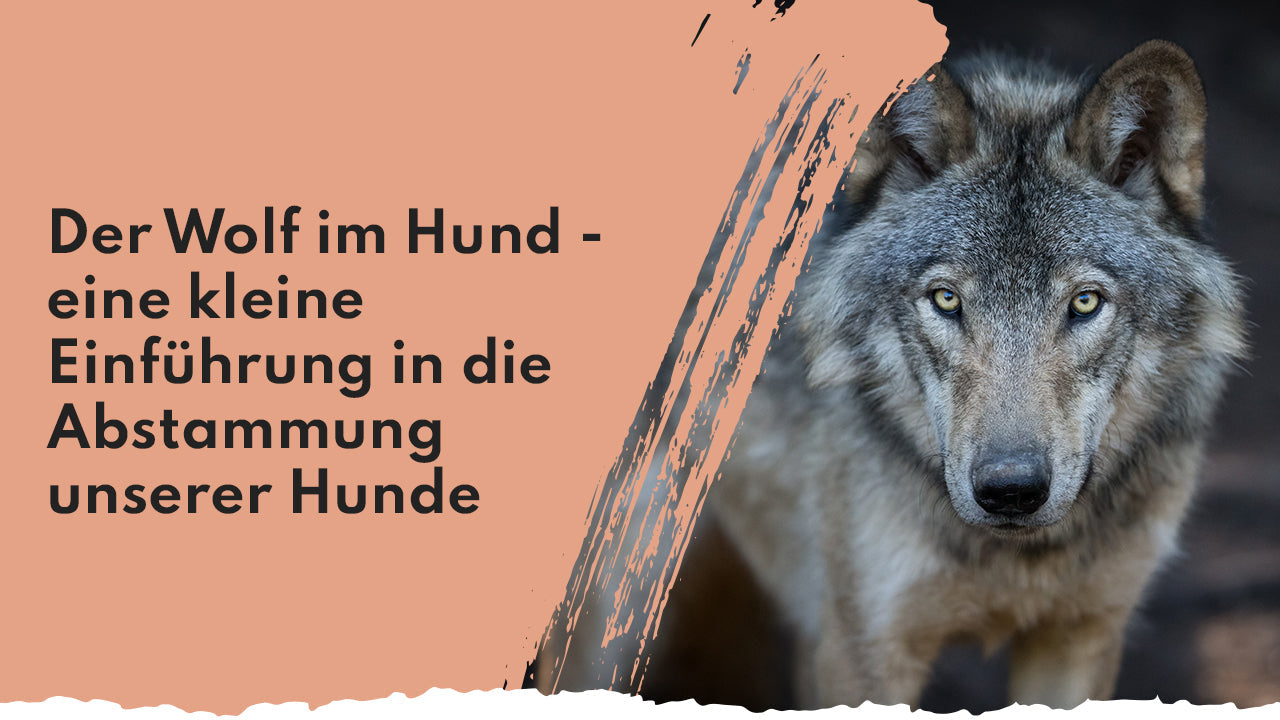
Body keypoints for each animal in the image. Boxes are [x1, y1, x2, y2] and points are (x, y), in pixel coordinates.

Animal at [654, 40, 1247, 709]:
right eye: (945, 300)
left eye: (1086, 302)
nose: (1011, 490)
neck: (1018, 557)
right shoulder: (864, 651)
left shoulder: (1079, 635)